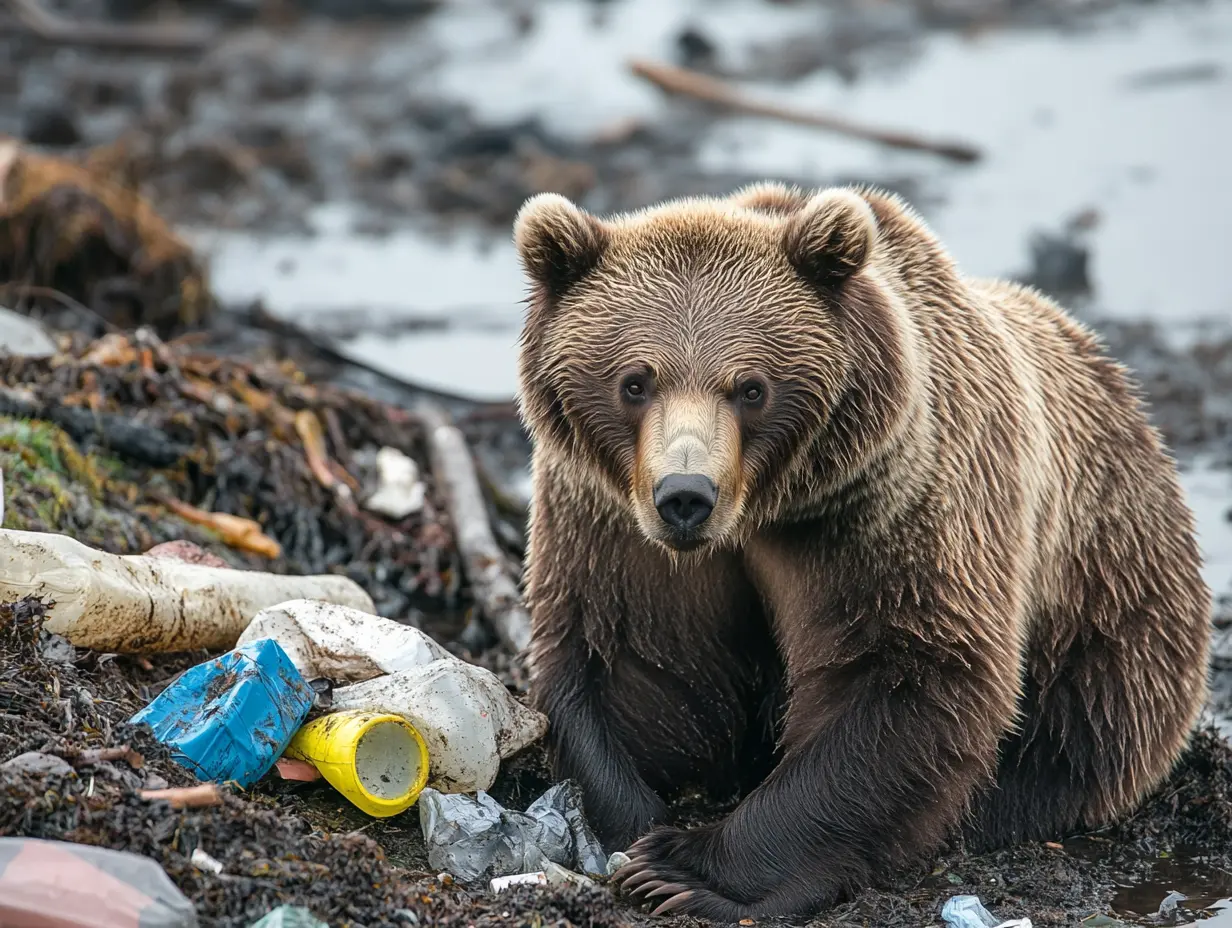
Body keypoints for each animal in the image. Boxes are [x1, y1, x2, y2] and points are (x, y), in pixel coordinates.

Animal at [510, 181, 1212, 922]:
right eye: (635, 381)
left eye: (751, 387)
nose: (685, 494)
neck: (766, 510)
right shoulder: (617, 526)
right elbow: (637, 662)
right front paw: (633, 818)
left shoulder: (891, 507)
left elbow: (905, 675)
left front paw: (683, 870)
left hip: (1107, 615)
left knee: (1072, 737)